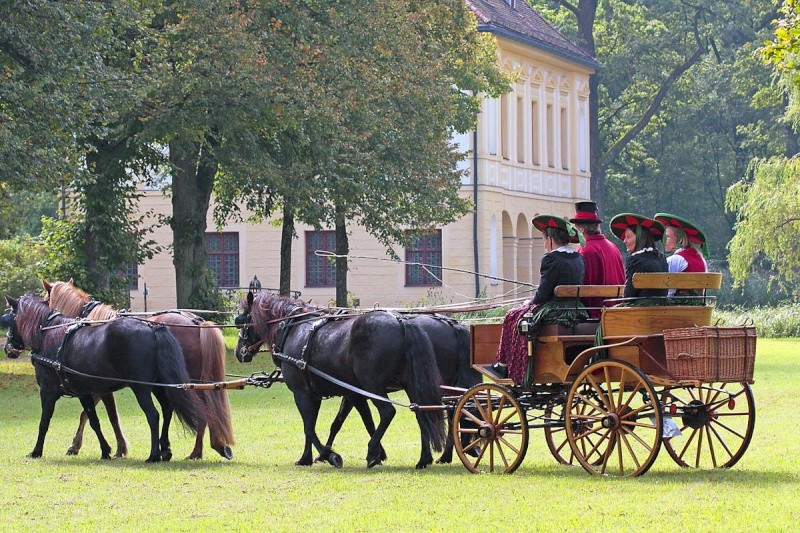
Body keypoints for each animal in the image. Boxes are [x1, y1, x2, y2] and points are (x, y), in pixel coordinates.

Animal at [4, 294, 203, 460]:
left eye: (10, 317)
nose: (7, 347)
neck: (49, 334)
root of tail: (152, 327)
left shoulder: (48, 392)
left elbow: (44, 422)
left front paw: (36, 451)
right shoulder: (84, 393)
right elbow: (94, 421)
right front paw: (105, 450)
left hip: (141, 388)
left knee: (153, 415)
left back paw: (153, 455)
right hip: (157, 385)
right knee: (167, 409)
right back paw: (165, 450)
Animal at [42, 276, 234, 460]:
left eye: (46, 300)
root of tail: (197, 322)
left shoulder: (99, 387)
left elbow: (99, 415)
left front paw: (84, 446)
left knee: (200, 410)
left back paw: (195, 451)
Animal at [234, 288, 446, 468]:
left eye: (241, 320)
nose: (239, 353)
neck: (293, 329)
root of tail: (402, 321)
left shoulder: (302, 392)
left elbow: (309, 428)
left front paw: (330, 455)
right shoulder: (342, 394)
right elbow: (354, 422)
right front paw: (308, 457)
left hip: (373, 384)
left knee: (388, 412)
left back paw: (371, 452)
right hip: (410, 385)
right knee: (421, 413)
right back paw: (423, 458)